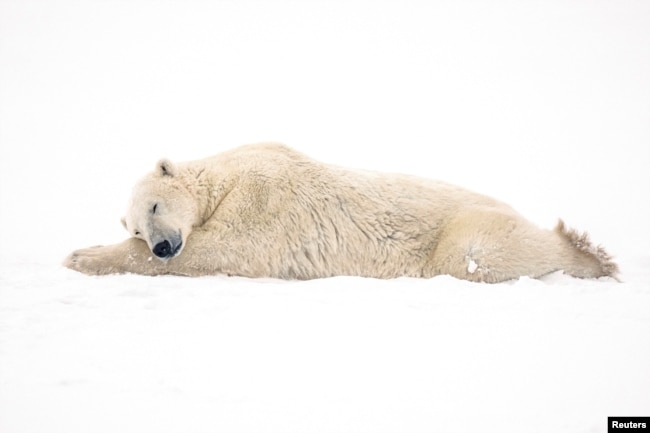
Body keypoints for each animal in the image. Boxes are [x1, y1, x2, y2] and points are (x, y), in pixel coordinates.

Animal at [66, 143, 616, 284]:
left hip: (464, 226)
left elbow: (224, 245)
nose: (162, 245)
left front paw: (80, 255)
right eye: (140, 227)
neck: (228, 174)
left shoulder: (265, 195)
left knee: (476, 253)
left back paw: (587, 253)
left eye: (155, 205)